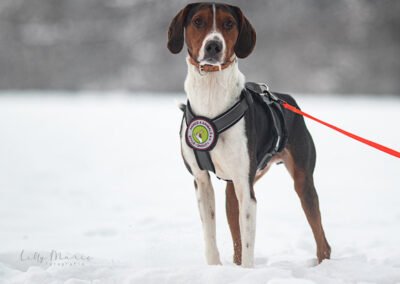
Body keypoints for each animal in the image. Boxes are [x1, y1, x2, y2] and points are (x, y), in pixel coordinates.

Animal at [166, 2, 332, 268]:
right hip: (233, 188)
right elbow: (210, 236)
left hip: (301, 181)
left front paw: (247, 271)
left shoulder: (246, 187)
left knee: (322, 240)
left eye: (229, 24)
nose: (214, 46)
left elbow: (247, 245)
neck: (211, 93)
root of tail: (286, 99)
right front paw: (215, 269)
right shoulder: (201, 181)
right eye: (198, 21)